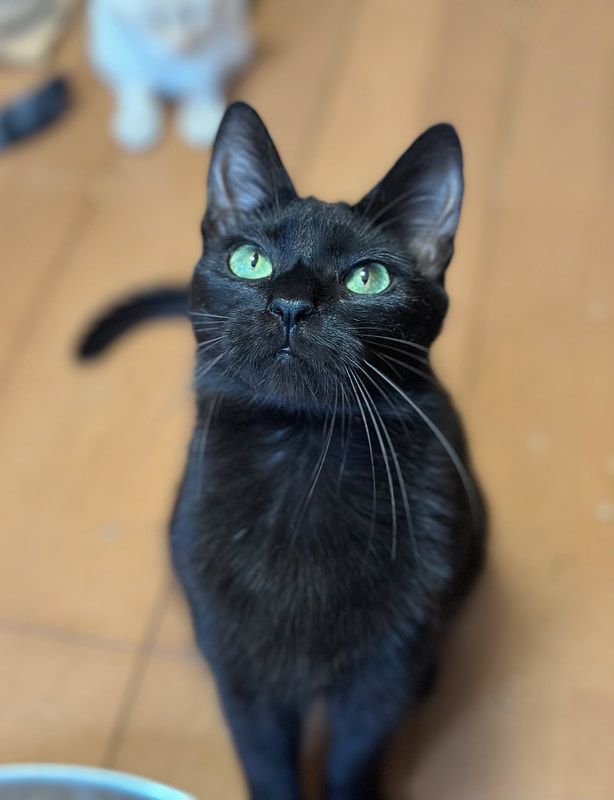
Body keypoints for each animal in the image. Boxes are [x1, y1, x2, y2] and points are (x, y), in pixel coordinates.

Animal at [80, 103, 486, 800]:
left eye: (367, 278)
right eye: (250, 261)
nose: (290, 305)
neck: (303, 460)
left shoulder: (379, 681)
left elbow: (353, 761)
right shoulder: (244, 683)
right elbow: (266, 763)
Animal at [86, 0, 250, 151]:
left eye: (191, 16)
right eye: (155, 23)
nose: (180, 45)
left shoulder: (226, 36)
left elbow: (204, 73)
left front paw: (203, 114)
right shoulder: (115, 45)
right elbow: (134, 81)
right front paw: (138, 119)